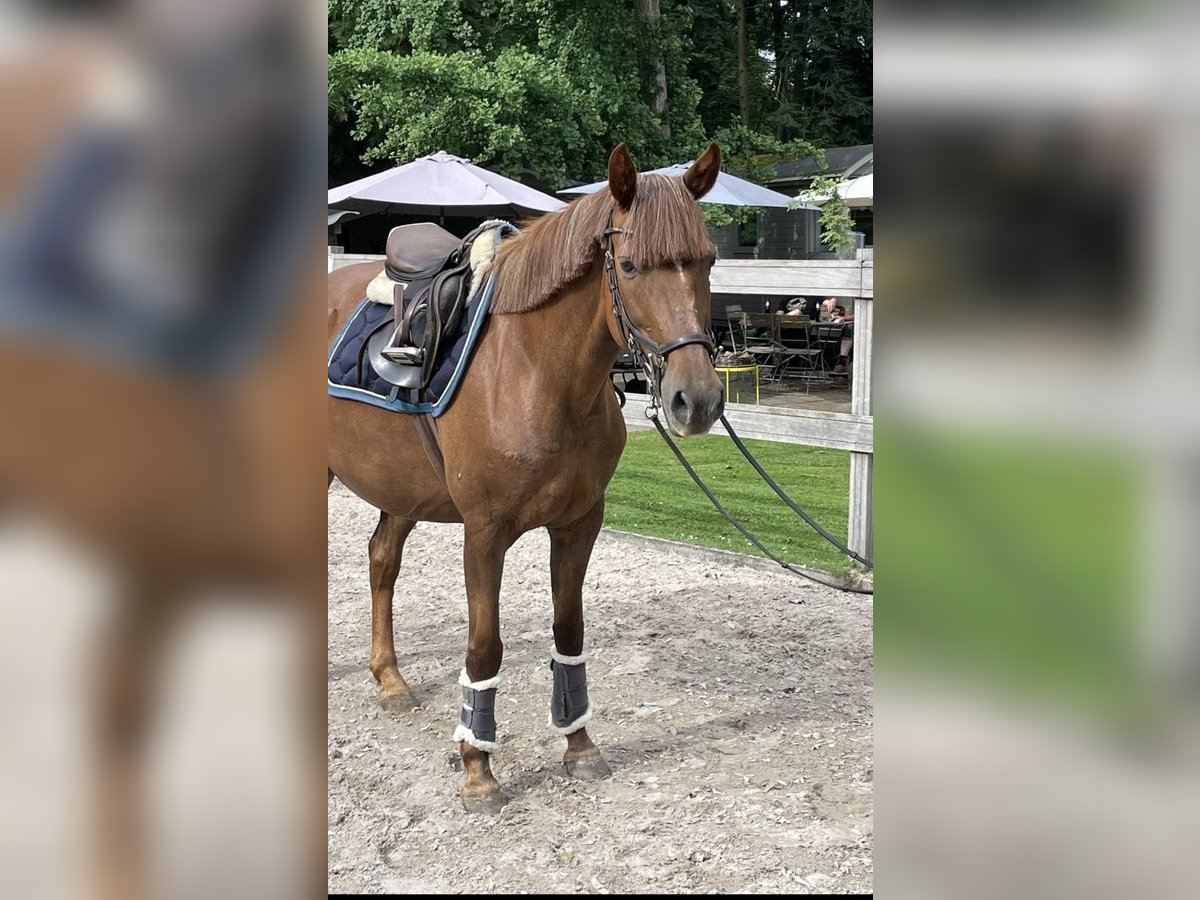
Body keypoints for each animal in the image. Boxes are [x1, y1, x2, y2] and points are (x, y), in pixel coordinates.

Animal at [324, 142, 724, 816]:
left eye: (709, 260)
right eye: (631, 265)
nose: (695, 400)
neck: (538, 372)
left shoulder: (580, 523)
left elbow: (569, 629)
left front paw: (579, 744)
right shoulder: (484, 532)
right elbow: (485, 645)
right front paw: (477, 767)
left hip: (401, 487)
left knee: (381, 560)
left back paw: (390, 679)